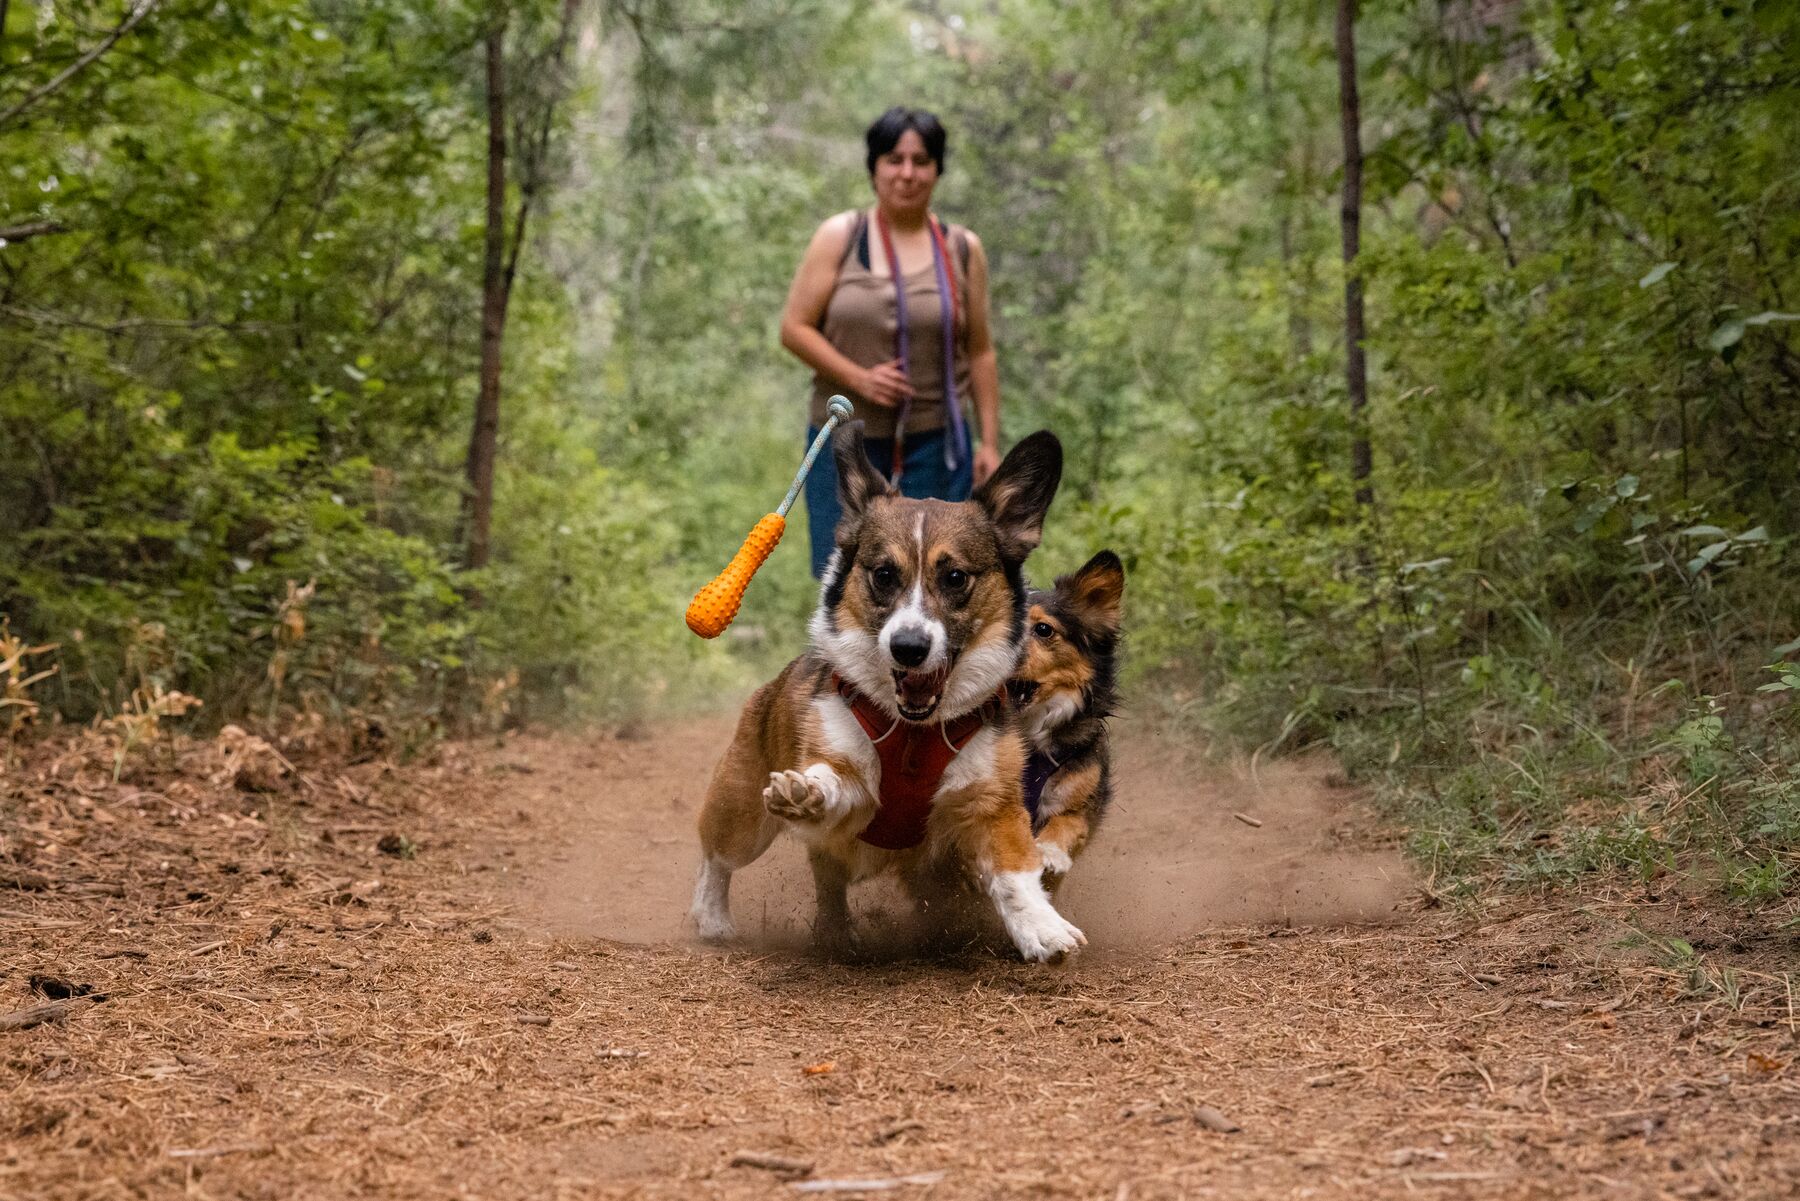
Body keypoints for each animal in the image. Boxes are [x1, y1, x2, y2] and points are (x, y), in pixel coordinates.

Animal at [684, 426, 1080, 965]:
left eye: (955, 577)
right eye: (884, 575)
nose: (908, 647)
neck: (913, 732)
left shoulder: (993, 803)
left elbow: (1016, 873)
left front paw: (1043, 929)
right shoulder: (850, 784)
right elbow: (832, 787)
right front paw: (807, 794)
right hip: (742, 813)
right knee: (717, 854)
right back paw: (713, 916)